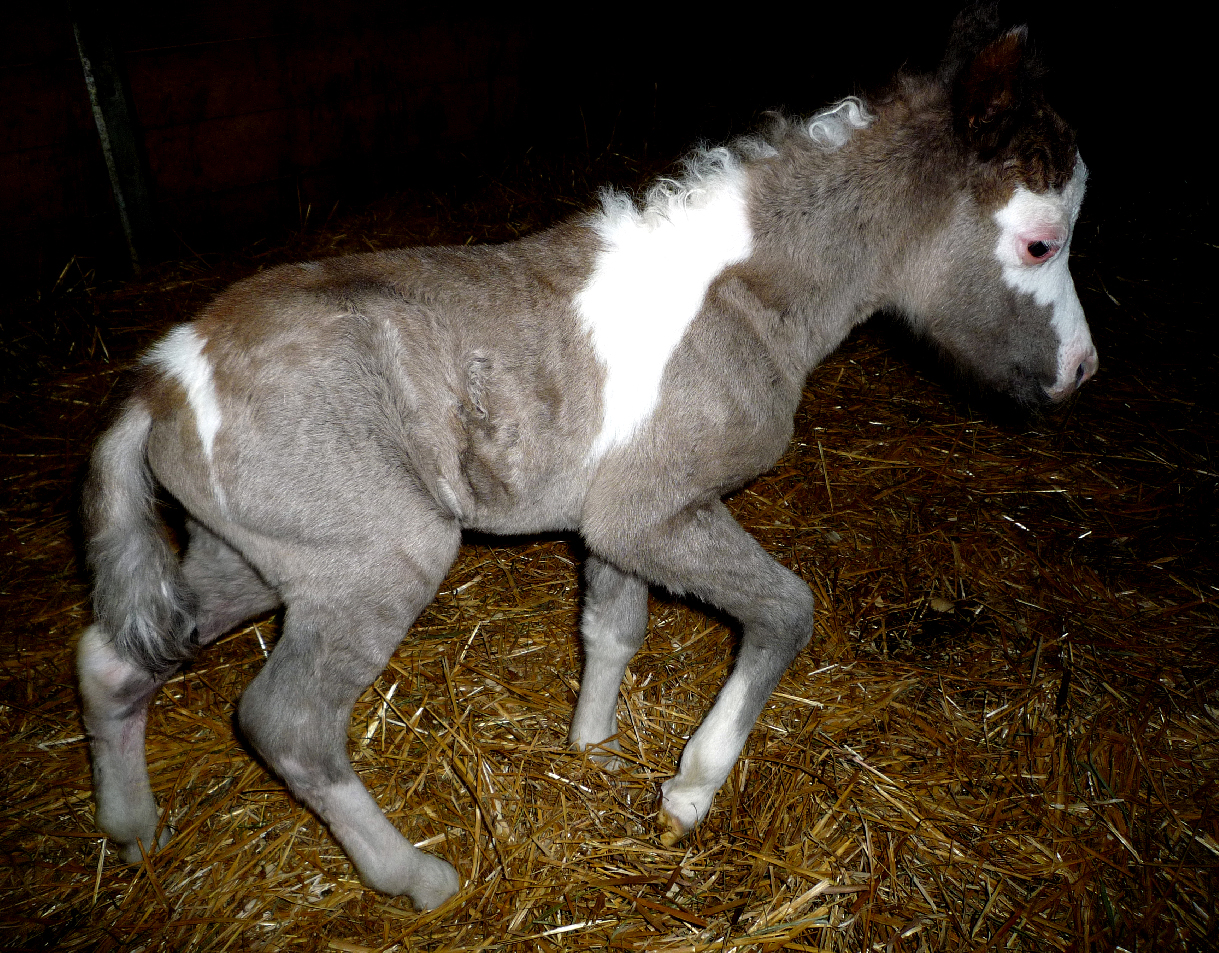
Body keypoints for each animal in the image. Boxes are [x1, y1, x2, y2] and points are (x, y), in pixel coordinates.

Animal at [76, 6, 1096, 911]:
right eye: (1039, 242)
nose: (1080, 372)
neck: (740, 292)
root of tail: (165, 379)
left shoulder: (615, 522)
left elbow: (611, 626)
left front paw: (592, 746)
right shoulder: (653, 509)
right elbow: (785, 611)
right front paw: (688, 790)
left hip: (246, 554)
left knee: (114, 659)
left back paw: (133, 832)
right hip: (375, 558)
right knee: (287, 723)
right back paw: (419, 879)